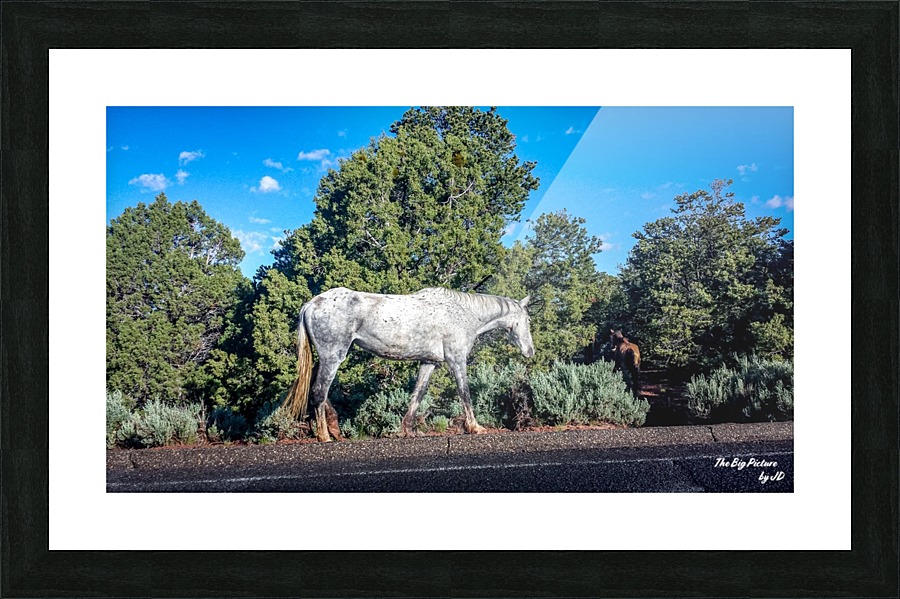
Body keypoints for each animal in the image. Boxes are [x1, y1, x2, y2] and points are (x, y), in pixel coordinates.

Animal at [283, 287, 535, 442]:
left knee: (319, 391)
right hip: (333, 356)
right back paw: (324, 436)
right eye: (527, 320)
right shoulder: (456, 359)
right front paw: (475, 427)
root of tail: (311, 304)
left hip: (325, 358)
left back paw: (335, 429)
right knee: (319, 391)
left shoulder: (429, 362)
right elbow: (464, 392)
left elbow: (417, 394)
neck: (464, 313)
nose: (530, 351)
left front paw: (406, 430)